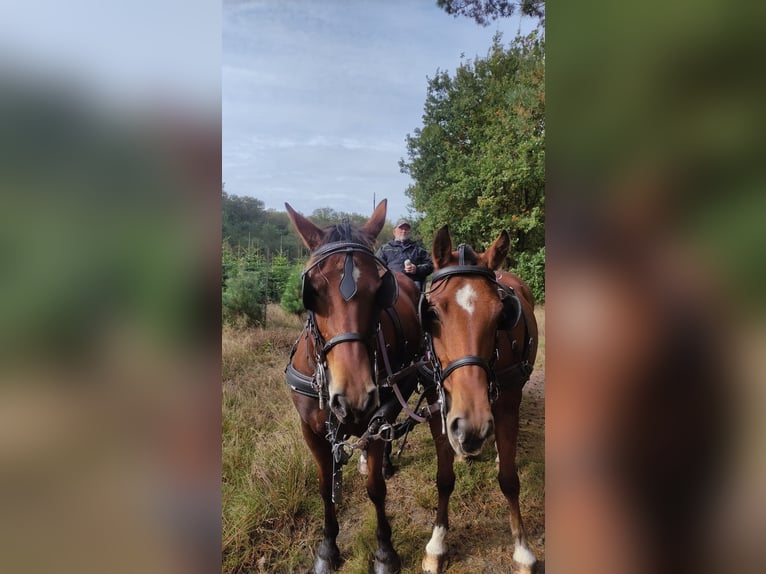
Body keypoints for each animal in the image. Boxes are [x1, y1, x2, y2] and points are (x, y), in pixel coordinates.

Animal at [284, 200, 424, 572]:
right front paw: (327, 548)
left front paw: (385, 552)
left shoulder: (374, 418)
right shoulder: (312, 431)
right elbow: (325, 487)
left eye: (380, 292)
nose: (355, 397)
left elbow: (375, 488)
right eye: (312, 292)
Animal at [420, 226, 540, 574]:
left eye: (502, 316)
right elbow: (444, 479)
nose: (472, 427)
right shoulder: (438, 409)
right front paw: (436, 545)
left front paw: (522, 549)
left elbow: (510, 481)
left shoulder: (506, 407)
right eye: (431, 313)